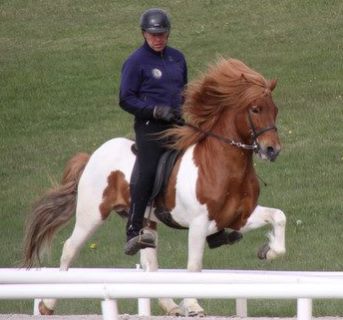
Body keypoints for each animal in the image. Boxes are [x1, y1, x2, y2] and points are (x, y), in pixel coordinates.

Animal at [22, 58, 288, 316]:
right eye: (255, 109)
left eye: (275, 110)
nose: (272, 150)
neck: (224, 166)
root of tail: (92, 156)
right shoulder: (199, 224)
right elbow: (194, 267)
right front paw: (193, 306)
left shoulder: (239, 217)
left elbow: (279, 217)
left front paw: (269, 250)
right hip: (92, 215)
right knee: (70, 249)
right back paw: (47, 305)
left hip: (146, 222)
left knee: (150, 266)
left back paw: (171, 306)